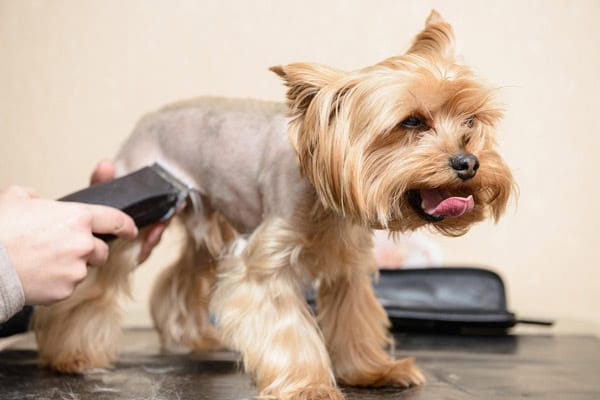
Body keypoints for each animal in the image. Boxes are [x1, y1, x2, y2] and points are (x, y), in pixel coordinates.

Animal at [32, 10, 512, 400]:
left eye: (470, 121)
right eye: (411, 122)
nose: (468, 163)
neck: (323, 191)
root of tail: (145, 121)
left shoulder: (347, 263)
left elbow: (353, 319)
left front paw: (372, 371)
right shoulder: (264, 263)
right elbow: (288, 326)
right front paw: (309, 385)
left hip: (209, 220)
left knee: (183, 275)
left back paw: (193, 336)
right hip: (136, 216)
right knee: (97, 284)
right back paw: (72, 355)